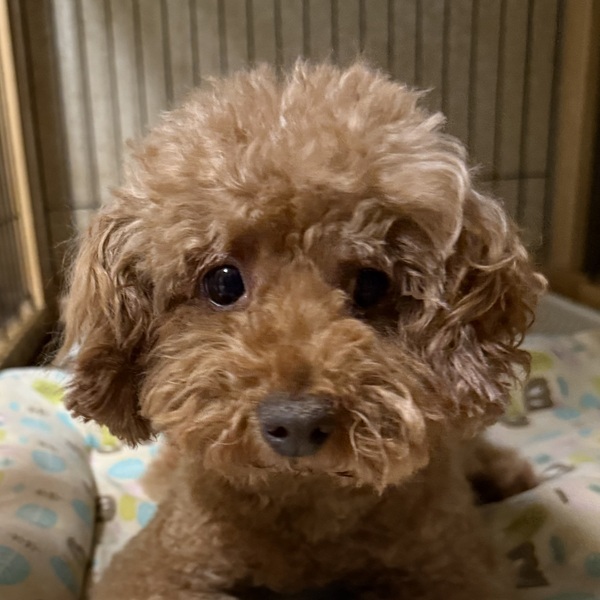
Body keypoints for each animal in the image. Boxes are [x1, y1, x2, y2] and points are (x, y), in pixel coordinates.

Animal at [59, 62, 545, 599]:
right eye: (222, 282)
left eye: (372, 284)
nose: (295, 423)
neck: (304, 491)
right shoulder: (162, 562)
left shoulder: (452, 564)